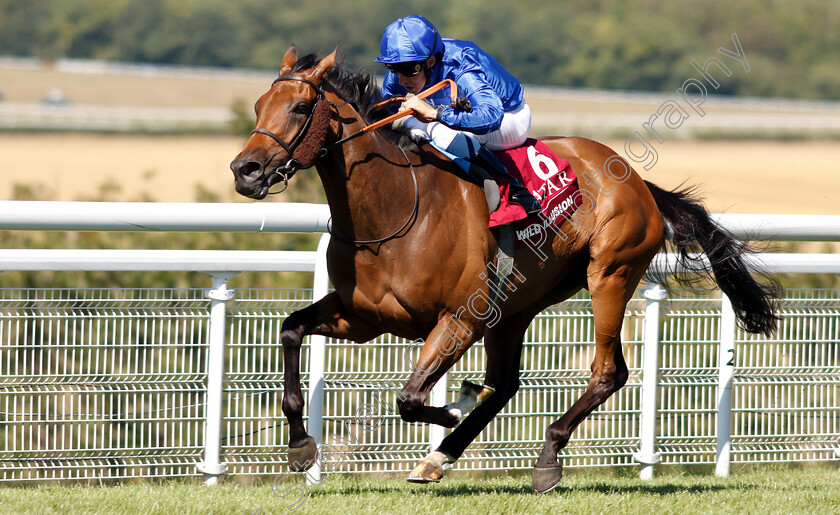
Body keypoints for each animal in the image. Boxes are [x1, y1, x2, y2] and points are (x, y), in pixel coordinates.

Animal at [228, 47, 776, 492]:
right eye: (258, 106)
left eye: (300, 107)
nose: (244, 170)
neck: (394, 211)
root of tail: (637, 179)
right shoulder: (362, 317)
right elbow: (291, 330)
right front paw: (301, 448)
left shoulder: (459, 319)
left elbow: (410, 397)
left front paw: (451, 405)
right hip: (516, 305)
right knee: (506, 383)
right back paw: (439, 457)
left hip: (610, 274)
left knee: (607, 372)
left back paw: (546, 457)